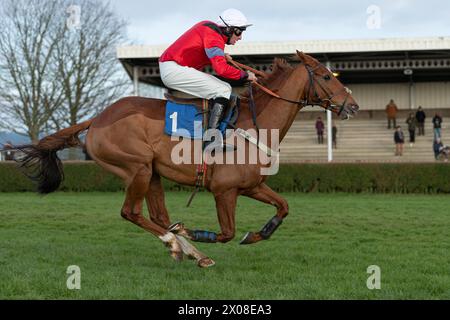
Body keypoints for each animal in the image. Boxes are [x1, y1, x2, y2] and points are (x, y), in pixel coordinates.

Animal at [4, 52, 358, 268]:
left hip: (152, 173)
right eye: (326, 76)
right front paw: (194, 233)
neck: (254, 124)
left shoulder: (252, 186)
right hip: (137, 168)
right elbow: (227, 232)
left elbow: (283, 207)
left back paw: (190, 251)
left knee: (159, 215)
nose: (352, 105)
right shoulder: (224, 191)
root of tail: (98, 118)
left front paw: (256, 235)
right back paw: (178, 244)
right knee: (132, 213)